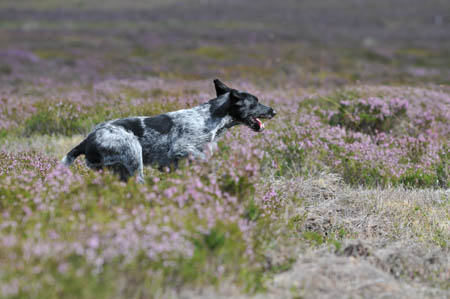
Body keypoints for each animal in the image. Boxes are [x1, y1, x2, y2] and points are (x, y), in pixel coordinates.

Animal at [61, 79, 276, 183]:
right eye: (255, 102)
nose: (274, 111)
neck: (211, 117)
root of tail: (86, 141)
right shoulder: (181, 149)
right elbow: (207, 161)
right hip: (134, 157)